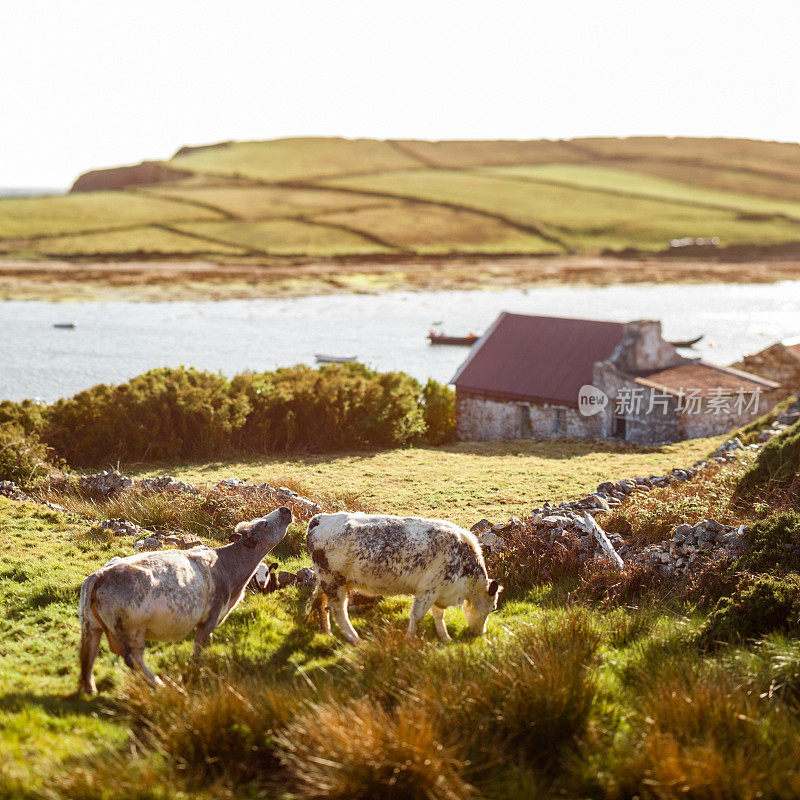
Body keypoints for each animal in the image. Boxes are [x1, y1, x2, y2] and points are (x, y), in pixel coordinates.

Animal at [76, 510, 290, 692]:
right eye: (264, 523)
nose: (285, 509)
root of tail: (98, 575)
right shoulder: (210, 618)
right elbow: (199, 649)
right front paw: (195, 673)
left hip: (91, 626)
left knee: (88, 654)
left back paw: (90, 689)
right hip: (132, 630)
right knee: (132, 658)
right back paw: (158, 683)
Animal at [304, 512, 500, 644]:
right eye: (492, 608)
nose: (480, 633)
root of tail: (320, 519)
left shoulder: (438, 592)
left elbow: (438, 616)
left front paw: (445, 637)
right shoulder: (428, 590)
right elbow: (416, 616)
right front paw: (409, 638)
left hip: (325, 580)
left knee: (320, 603)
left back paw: (327, 632)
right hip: (334, 581)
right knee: (338, 610)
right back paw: (355, 639)